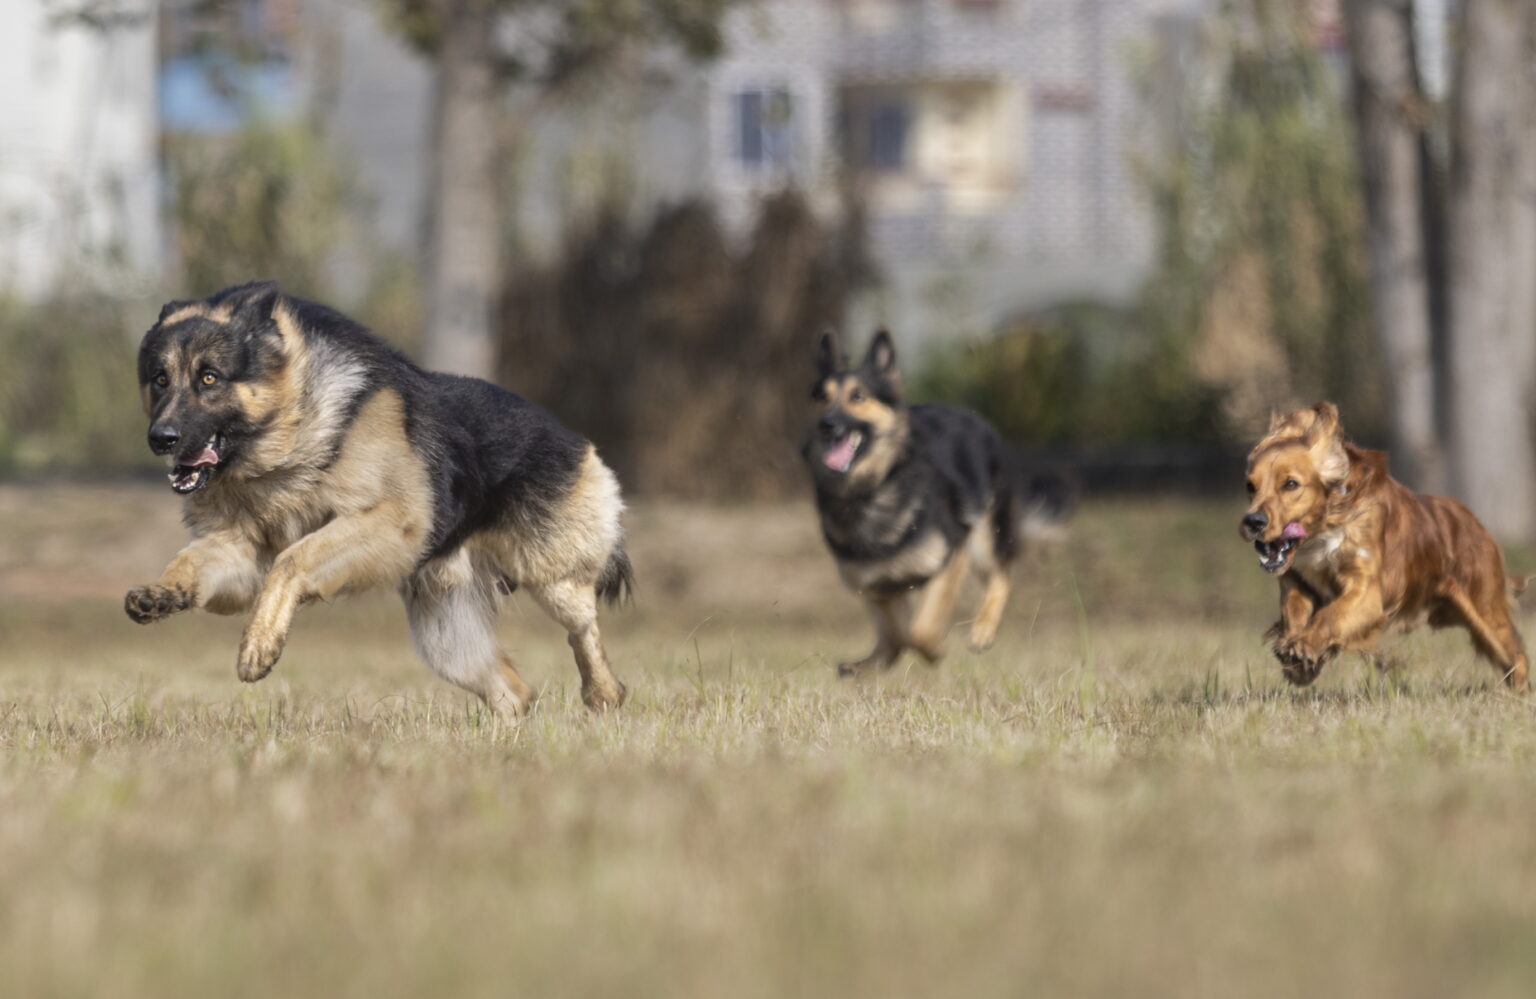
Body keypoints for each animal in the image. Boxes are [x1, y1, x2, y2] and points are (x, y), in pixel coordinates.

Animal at [1241, 399, 1529, 688]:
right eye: (1250, 486)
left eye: (1291, 484)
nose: (1253, 521)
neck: (1326, 528)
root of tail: (1474, 521)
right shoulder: (1296, 577)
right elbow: (1294, 610)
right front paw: (1296, 659)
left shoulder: (1368, 593)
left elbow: (1330, 615)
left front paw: (1306, 647)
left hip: (1486, 609)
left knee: (1516, 656)